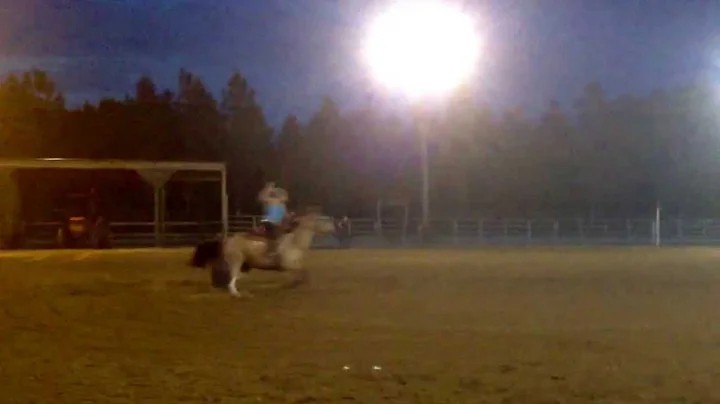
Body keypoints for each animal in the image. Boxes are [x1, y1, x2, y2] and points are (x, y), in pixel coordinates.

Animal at [191, 211, 338, 296]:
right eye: (325, 220)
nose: (334, 228)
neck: (294, 241)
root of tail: (227, 240)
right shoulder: (287, 265)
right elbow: (304, 273)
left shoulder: (294, 265)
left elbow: (304, 273)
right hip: (236, 261)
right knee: (231, 276)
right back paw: (235, 292)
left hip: (242, 263)